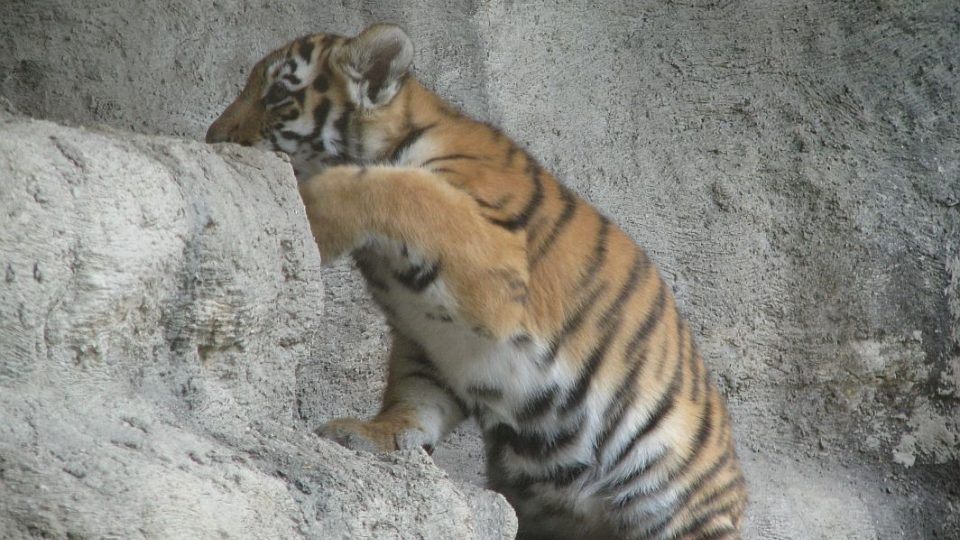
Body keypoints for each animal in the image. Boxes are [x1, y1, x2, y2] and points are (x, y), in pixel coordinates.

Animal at [206, 22, 752, 540]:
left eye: (276, 95)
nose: (212, 137)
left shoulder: (498, 268)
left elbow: (404, 189)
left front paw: (314, 216)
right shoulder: (429, 341)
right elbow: (414, 393)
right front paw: (374, 433)